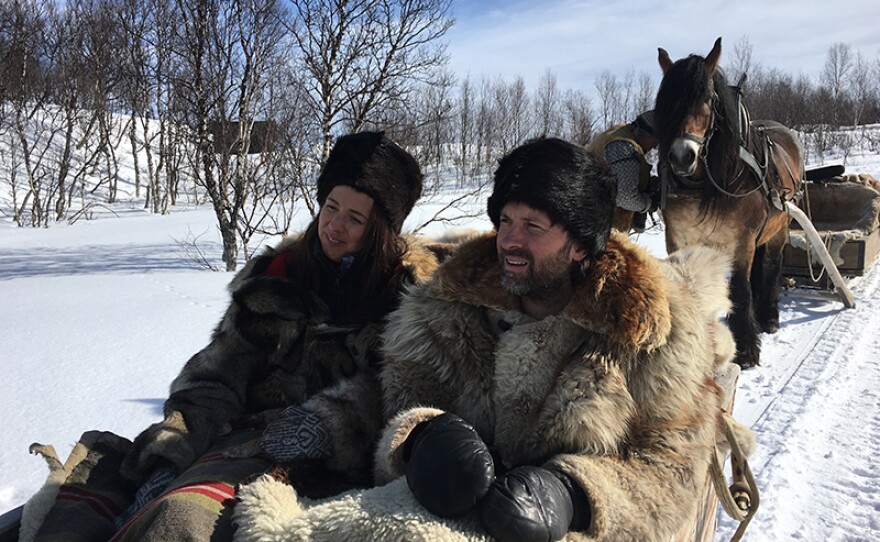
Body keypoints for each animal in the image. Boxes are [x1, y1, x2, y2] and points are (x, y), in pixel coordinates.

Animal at [652, 37, 804, 370]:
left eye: (709, 98)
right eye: (665, 102)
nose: (681, 156)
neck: (704, 188)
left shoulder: (741, 241)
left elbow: (740, 290)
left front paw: (746, 348)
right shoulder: (678, 239)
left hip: (780, 227)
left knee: (771, 265)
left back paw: (768, 317)